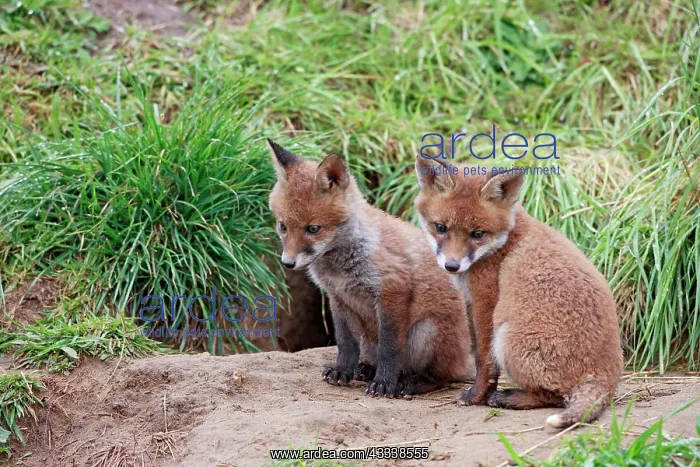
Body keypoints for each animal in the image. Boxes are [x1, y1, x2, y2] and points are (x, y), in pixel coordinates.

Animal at [267, 139, 475, 397]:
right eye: (283, 226)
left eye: (313, 229)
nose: (288, 262)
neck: (340, 267)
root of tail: (465, 357)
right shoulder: (338, 298)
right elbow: (345, 343)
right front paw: (342, 371)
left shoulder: (392, 290)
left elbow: (389, 348)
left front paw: (384, 383)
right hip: (369, 340)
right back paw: (365, 370)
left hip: (425, 332)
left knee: (440, 377)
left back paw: (409, 383)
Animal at [414, 157, 623, 428]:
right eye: (441, 228)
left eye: (477, 234)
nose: (452, 265)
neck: (504, 241)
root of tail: (606, 373)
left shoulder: (485, 302)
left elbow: (483, 360)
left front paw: (476, 397)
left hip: (507, 337)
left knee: (553, 397)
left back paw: (509, 398)